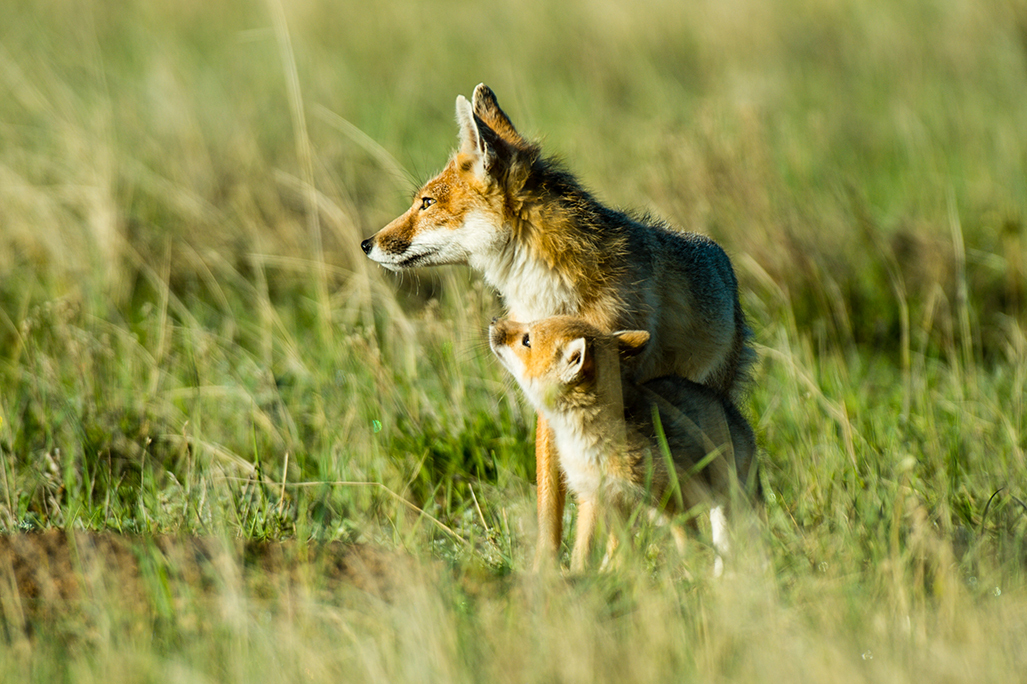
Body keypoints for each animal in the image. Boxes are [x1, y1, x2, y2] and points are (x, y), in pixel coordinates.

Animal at [363, 83, 755, 562]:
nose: (366, 243)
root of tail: (723, 262)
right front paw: (549, 569)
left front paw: (595, 567)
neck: (548, 296)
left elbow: (601, 501)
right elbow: (551, 502)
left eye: (426, 203)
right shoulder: (547, 407)